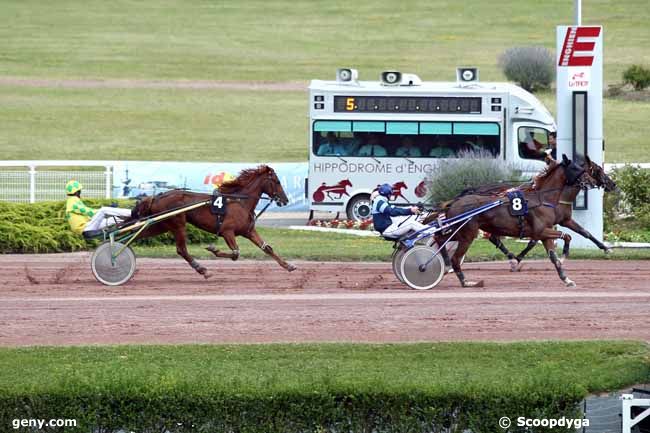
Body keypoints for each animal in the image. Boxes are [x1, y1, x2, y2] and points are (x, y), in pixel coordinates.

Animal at [131, 164, 296, 278]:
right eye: (277, 181)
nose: (285, 200)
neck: (240, 202)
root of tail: (156, 197)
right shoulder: (227, 231)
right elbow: (235, 253)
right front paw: (213, 249)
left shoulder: (248, 231)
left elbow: (267, 248)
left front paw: (288, 266)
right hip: (178, 224)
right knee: (182, 250)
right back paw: (203, 270)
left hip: (161, 225)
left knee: (138, 235)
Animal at [428, 155, 596, 286]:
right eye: (575, 168)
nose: (591, 180)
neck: (542, 199)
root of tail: (454, 202)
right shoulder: (541, 231)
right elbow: (566, 236)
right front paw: (565, 254)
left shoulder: (544, 234)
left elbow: (554, 256)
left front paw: (566, 279)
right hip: (467, 234)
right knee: (456, 258)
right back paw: (465, 281)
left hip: (459, 232)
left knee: (439, 237)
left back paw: (445, 264)